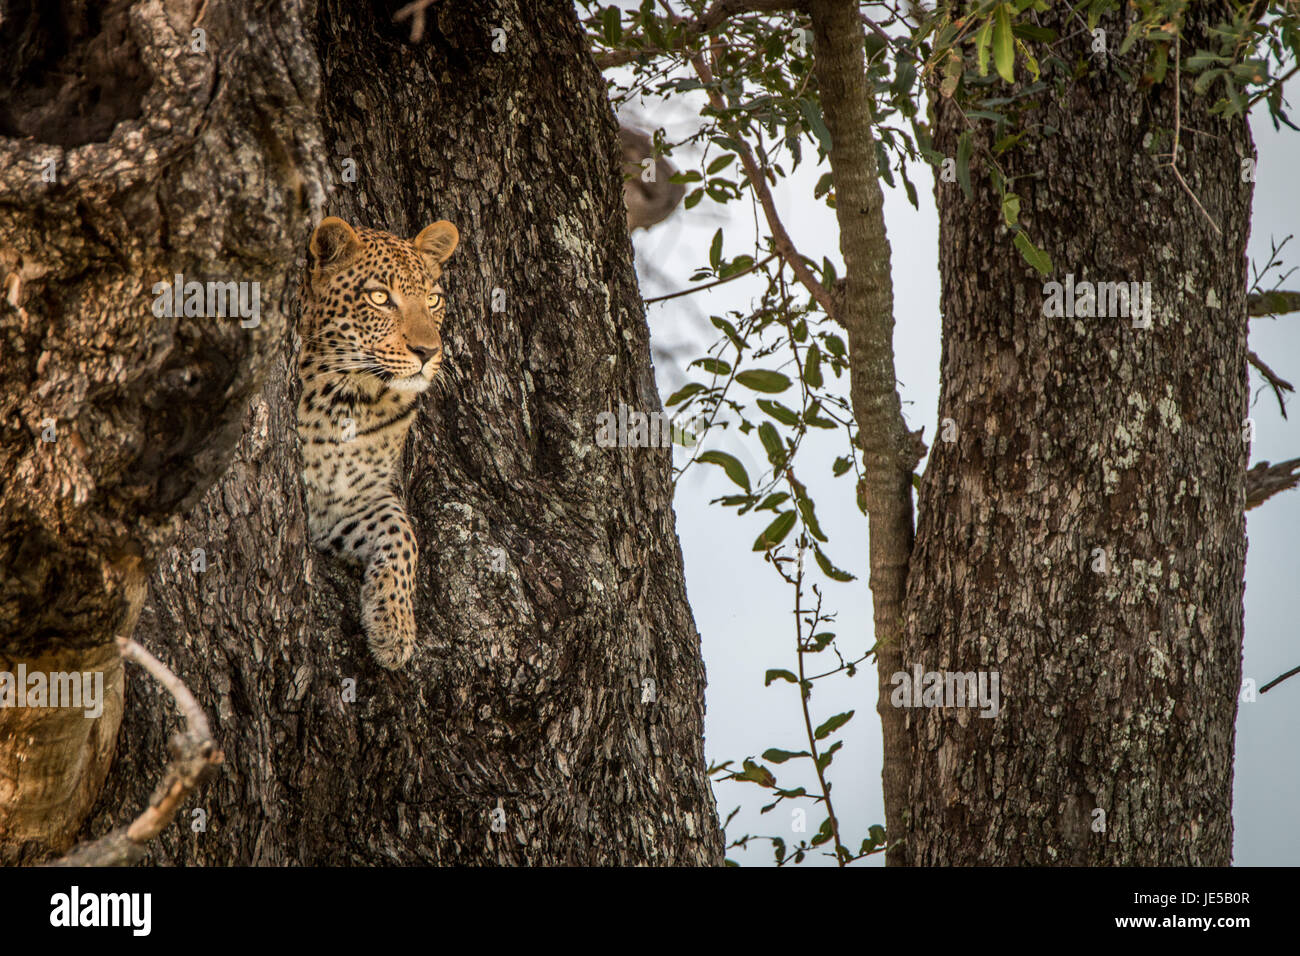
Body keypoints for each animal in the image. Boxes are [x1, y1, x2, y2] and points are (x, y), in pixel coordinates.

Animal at [296, 215, 459, 669]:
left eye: (434, 299)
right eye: (380, 297)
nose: (427, 352)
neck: (350, 399)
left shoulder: (349, 501)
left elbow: (403, 533)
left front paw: (394, 628)